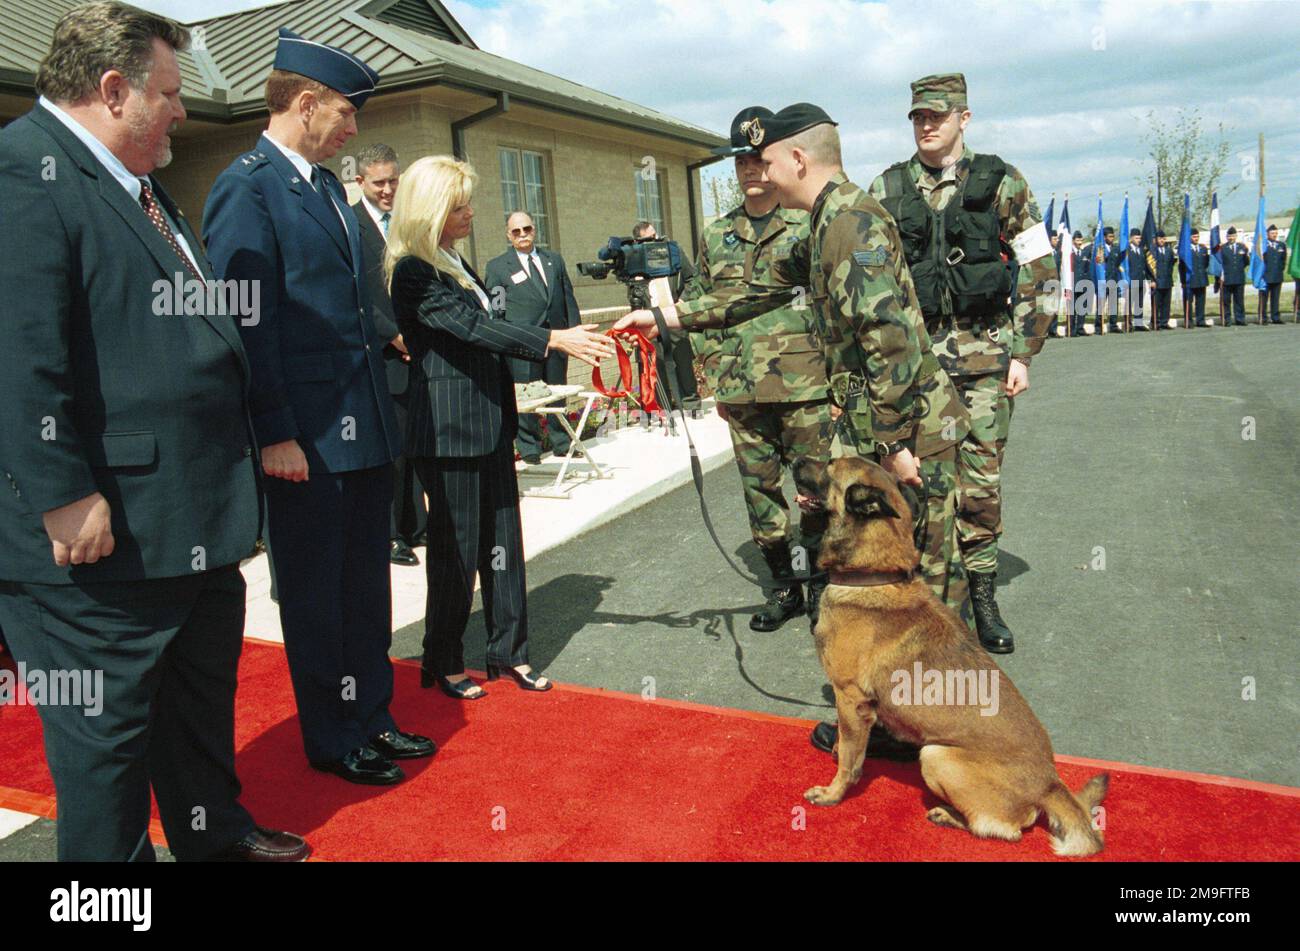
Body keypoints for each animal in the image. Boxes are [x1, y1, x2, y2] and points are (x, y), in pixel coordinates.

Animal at [790, 457, 1107, 857]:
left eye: (829, 465)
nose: (795, 459)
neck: (874, 575)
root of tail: (1050, 783)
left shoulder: (851, 699)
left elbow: (848, 759)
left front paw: (833, 793)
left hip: (936, 756)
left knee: (1005, 829)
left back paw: (949, 815)